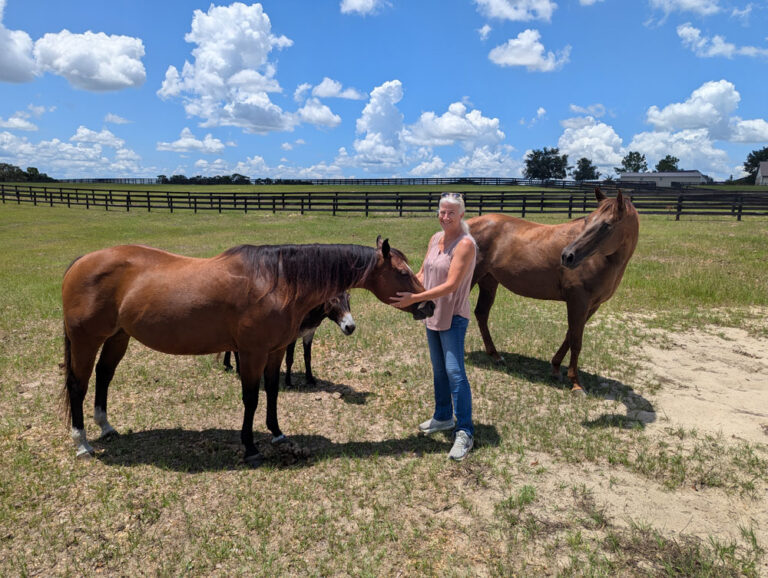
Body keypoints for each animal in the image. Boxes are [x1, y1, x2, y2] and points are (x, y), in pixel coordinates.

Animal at [221, 291, 355, 387]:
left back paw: (228, 364)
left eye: (349, 297)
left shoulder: (309, 333)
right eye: (334, 299)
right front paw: (288, 382)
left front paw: (310, 379)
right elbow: (289, 359)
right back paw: (239, 370)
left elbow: (308, 357)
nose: (351, 327)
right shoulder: (292, 336)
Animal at [467, 188, 639, 394]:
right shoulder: (578, 301)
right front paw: (576, 383)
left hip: (488, 281)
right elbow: (576, 340)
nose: (567, 256)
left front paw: (556, 368)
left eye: (607, 226)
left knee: (481, 313)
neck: (603, 260)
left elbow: (570, 336)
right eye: (587, 220)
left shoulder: (592, 305)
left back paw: (495, 356)